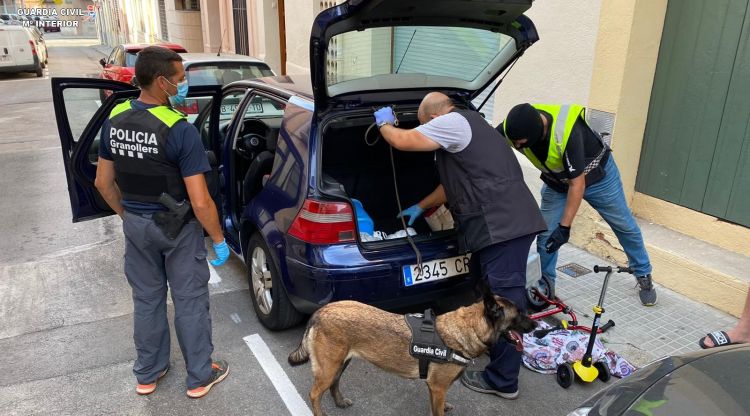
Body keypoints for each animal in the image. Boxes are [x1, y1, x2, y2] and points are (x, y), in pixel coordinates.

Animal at [288, 292, 540, 416]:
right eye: (519, 314)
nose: (537, 326)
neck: (468, 328)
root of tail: (321, 311)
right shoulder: (437, 388)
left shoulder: (435, 389)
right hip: (329, 367)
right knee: (314, 394)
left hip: (340, 363)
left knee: (334, 384)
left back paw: (340, 402)